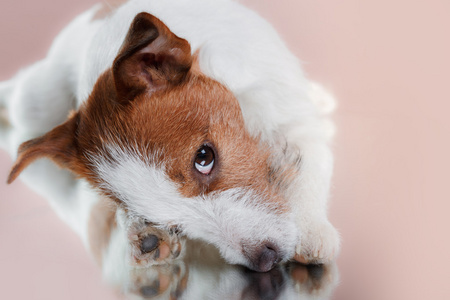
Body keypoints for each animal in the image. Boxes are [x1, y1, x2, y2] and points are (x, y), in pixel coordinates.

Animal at [0, 0, 340, 274]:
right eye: (166, 219)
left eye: (204, 157)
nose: (264, 261)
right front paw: (145, 235)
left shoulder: (288, 110)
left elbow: (309, 163)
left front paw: (311, 229)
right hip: (36, 103)